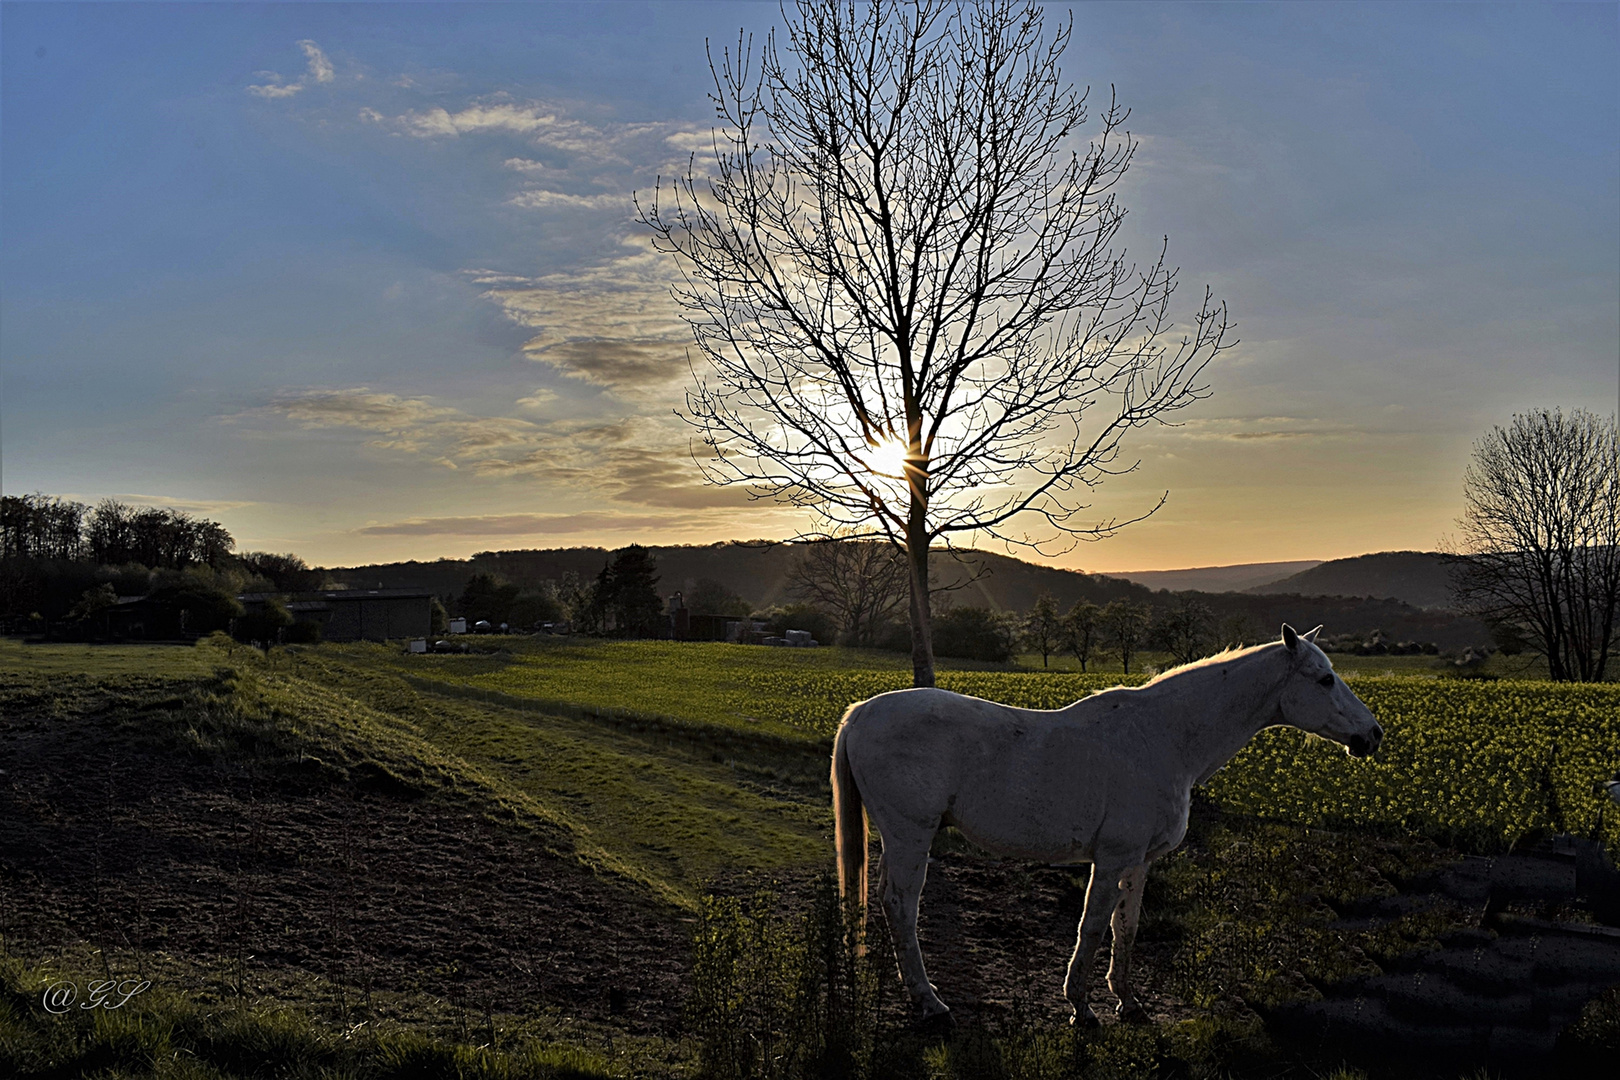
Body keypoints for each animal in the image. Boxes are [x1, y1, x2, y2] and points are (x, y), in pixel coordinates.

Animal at [835, 621, 1380, 1029]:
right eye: (1324, 679)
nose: (1372, 735)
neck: (1163, 737)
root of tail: (859, 714)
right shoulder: (1112, 857)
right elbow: (1093, 925)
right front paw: (1081, 1007)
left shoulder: (1139, 862)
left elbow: (1126, 927)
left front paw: (1128, 1002)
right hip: (911, 834)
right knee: (901, 904)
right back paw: (930, 1004)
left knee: (885, 900)